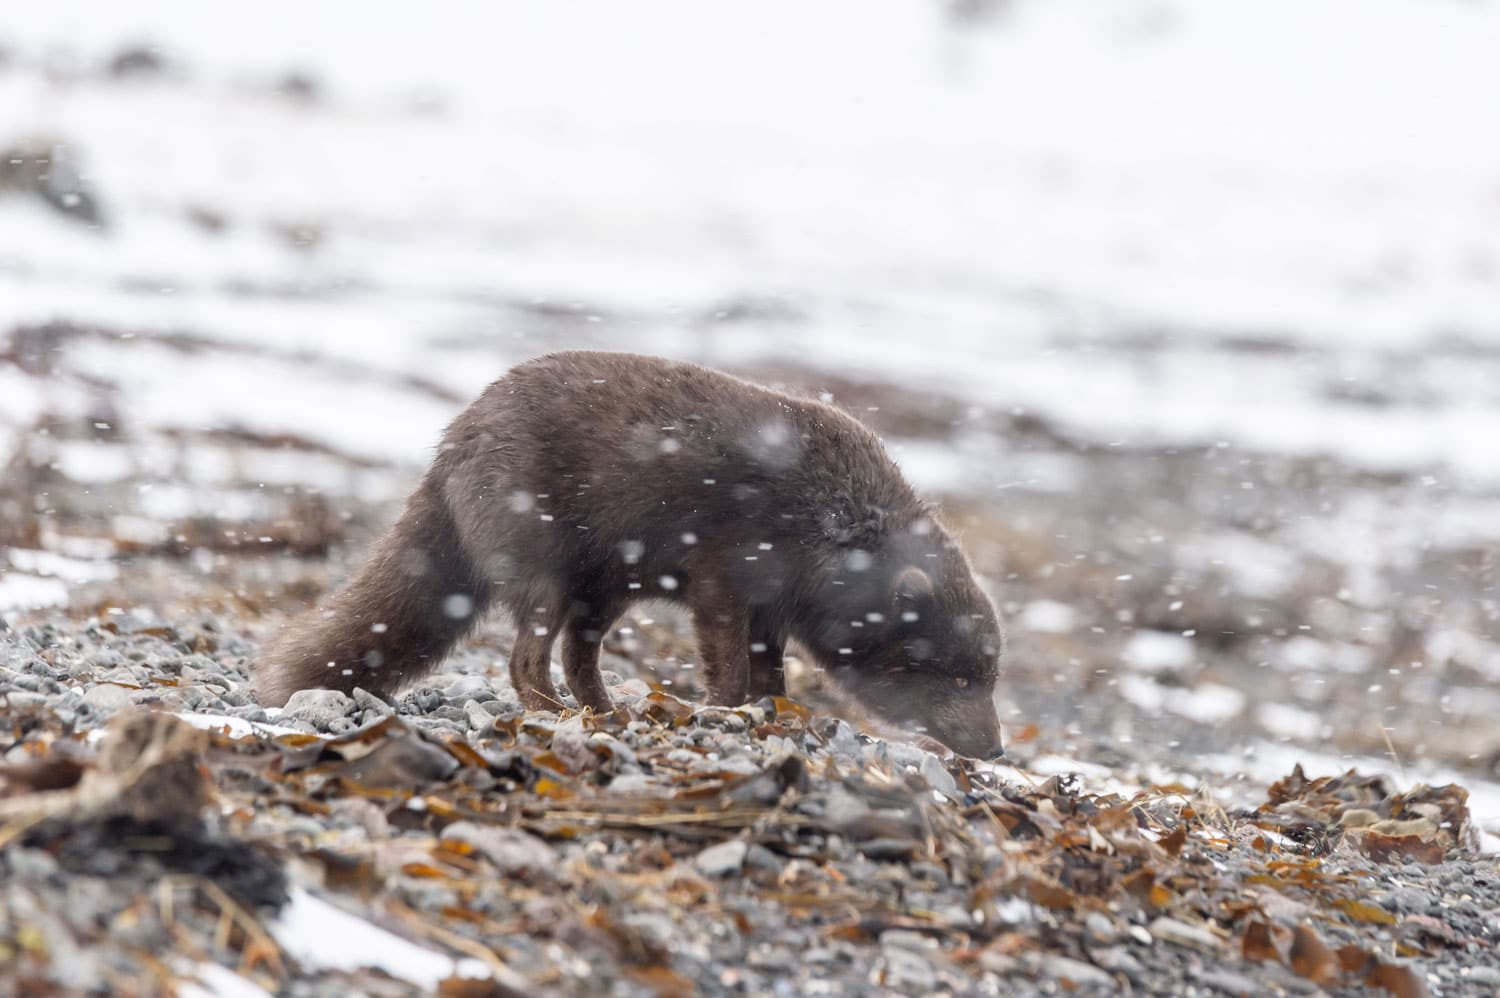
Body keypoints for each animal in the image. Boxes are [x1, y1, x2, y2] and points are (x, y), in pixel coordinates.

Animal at [258, 349, 1008, 756]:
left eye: (988, 677)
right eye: (957, 679)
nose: (997, 747)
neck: (837, 523)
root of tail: (449, 445)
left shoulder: (772, 608)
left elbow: (771, 673)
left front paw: (772, 714)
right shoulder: (723, 581)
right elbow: (732, 667)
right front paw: (726, 712)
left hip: (605, 587)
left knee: (575, 654)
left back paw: (604, 713)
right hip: (546, 567)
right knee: (528, 656)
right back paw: (559, 712)